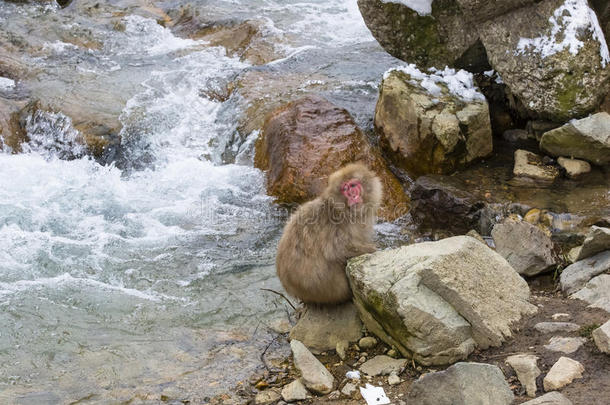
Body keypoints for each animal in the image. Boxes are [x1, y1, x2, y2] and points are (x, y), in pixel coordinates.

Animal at [276, 161, 380, 304]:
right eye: (345, 189)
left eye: (353, 185)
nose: (353, 196)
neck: (343, 211)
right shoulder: (336, 224)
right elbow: (336, 250)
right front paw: (373, 249)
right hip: (326, 290)